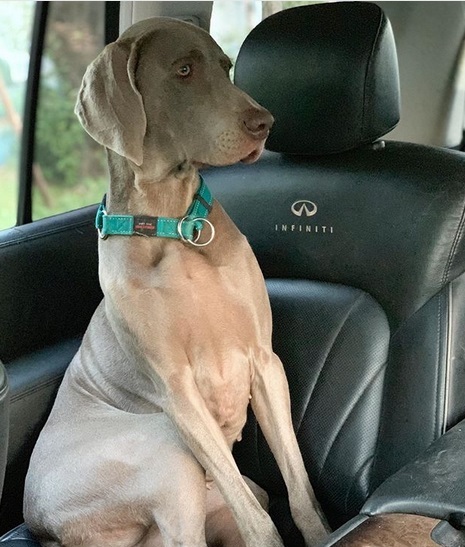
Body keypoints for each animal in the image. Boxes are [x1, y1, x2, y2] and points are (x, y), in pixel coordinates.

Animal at [23, 17, 328, 547]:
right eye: (184, 70)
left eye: (227, 67)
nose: (264, 123)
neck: (173, 226)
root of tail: (44, 527)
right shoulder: (177, 391)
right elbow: (258, 522)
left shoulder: (264, 361)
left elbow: (299, 490)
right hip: (165, 446)